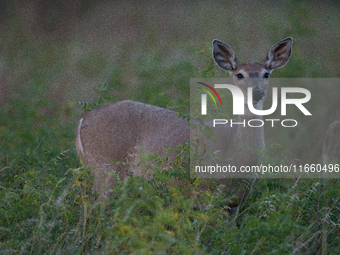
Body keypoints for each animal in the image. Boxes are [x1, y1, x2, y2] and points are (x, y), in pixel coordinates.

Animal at [76, 37, 292, 205]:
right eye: (239, 74)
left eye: (266, 73)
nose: (256, 92)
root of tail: (82, 121)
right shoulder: (203, 191)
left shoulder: (235, 203)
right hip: (106, 167)